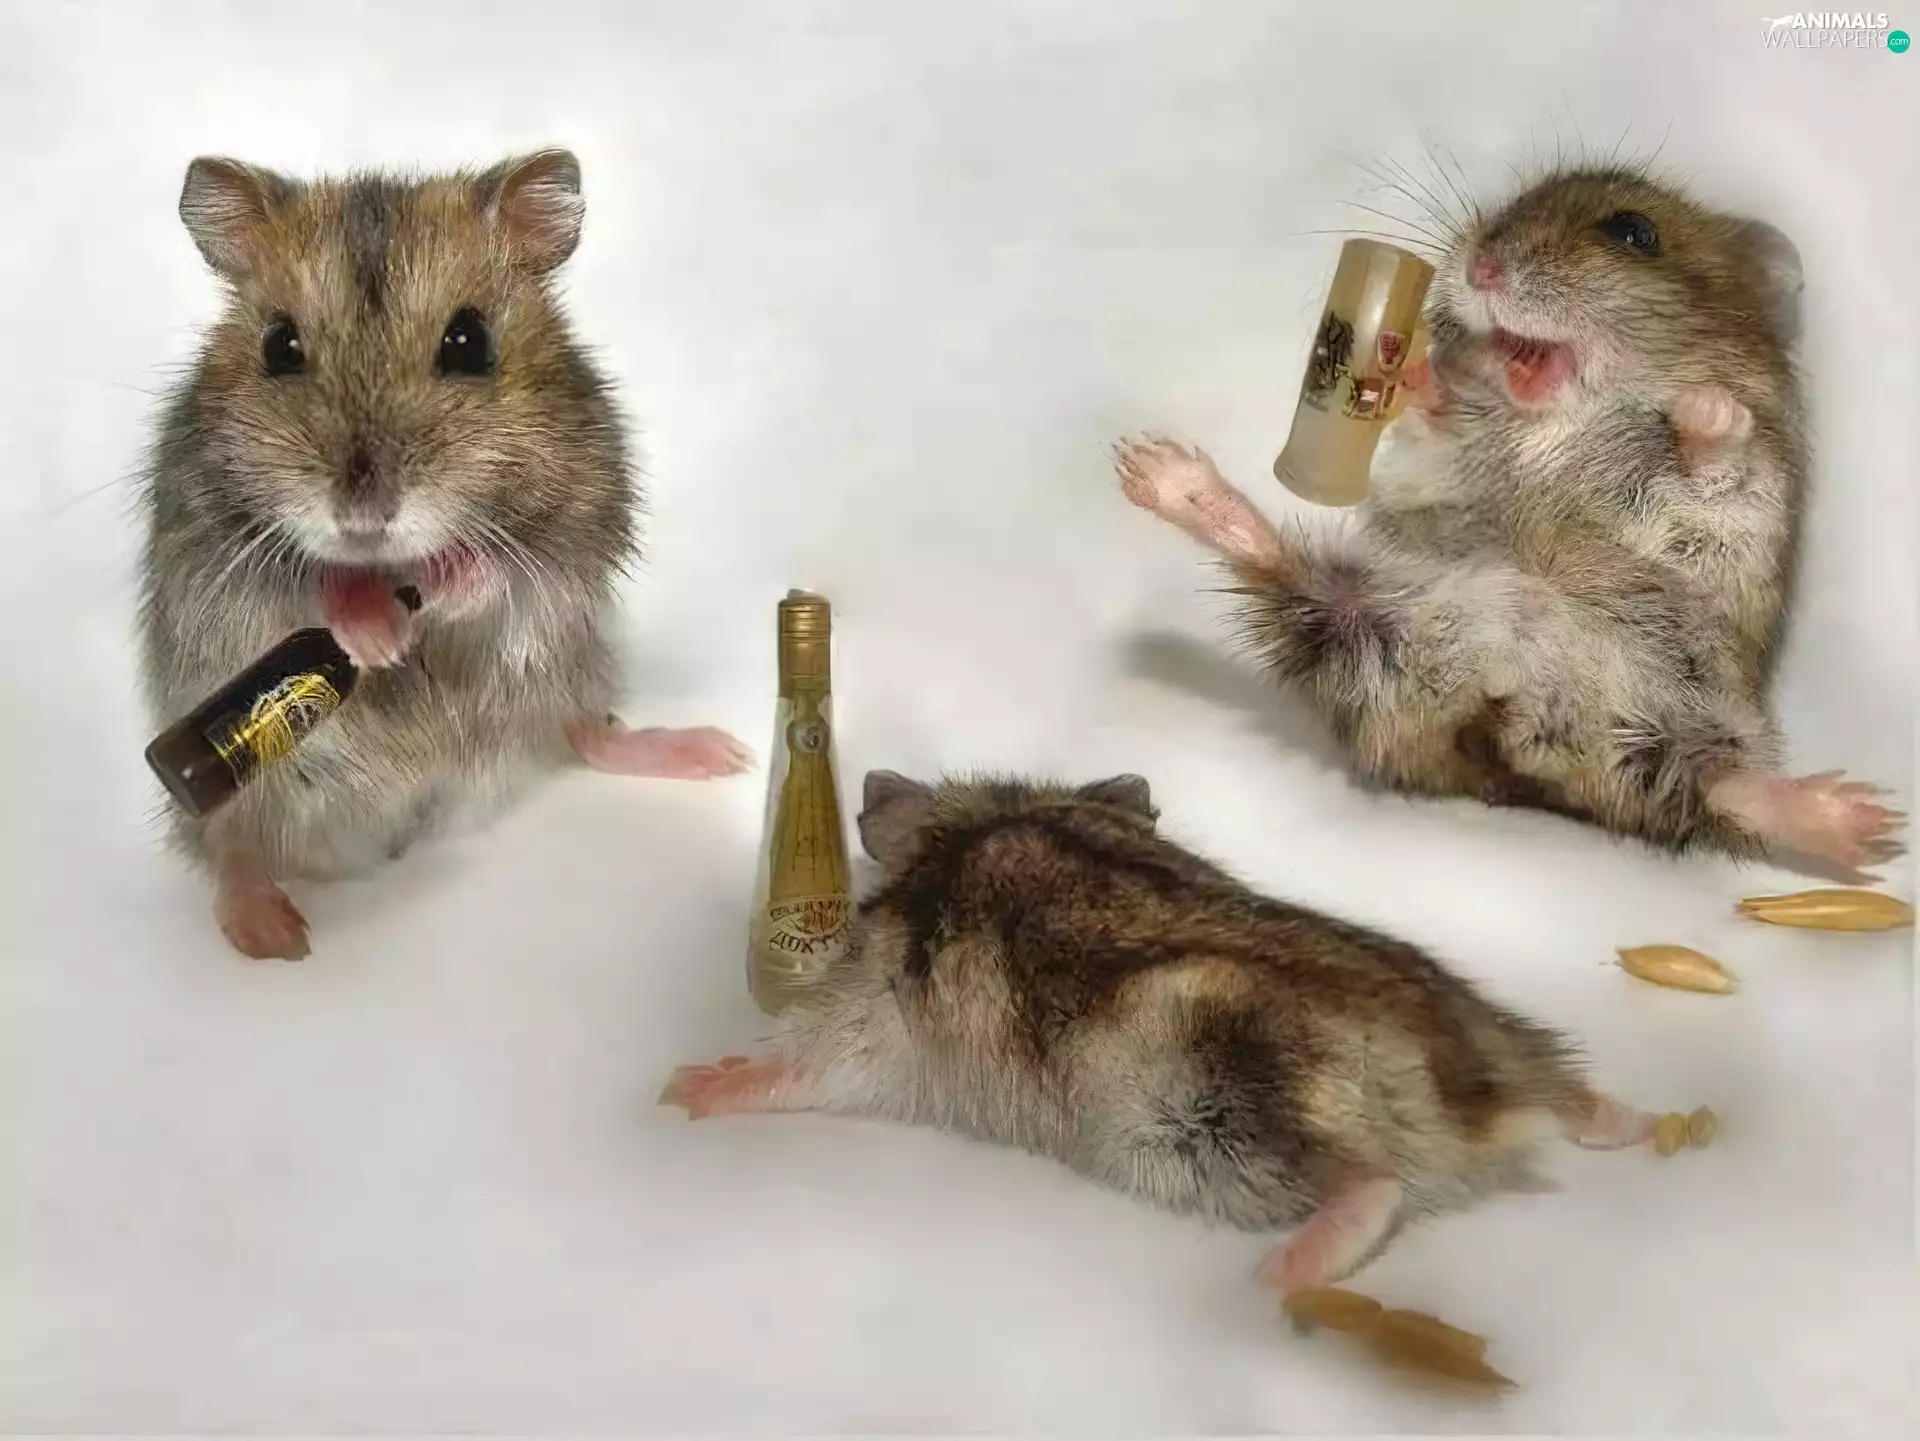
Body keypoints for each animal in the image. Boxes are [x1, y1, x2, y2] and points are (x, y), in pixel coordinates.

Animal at [138, 149, 751, 960]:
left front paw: (446, 581)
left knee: (586, 736)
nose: (363, 516)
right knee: (229, 841)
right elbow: (308, 582)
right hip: (229, 780)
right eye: (278, 347)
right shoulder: (214, 536)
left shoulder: (582, 518)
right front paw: (380, 636)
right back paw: (273, 935)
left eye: (470, 343)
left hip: (567, 672)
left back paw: (717, 752)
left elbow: (511, 569)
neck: (390, 564)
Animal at [662, 771, 1667, 1294]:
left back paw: (1273, 1276)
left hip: (1230, 1118)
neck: (970, 828)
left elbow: (791, 1067)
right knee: (1580, 1094)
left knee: (1370, 1189)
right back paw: (1649, 1126)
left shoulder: (862, 1026)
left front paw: (682, 1086)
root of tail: (1492, 1105)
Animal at [1115, 166, 1903, 873]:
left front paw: (1702, 410)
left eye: (1634, 232)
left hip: (1693, 717)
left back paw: (1862, 819)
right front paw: (1415, 374)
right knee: (1280, 567)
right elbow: (1436, 425)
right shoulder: (1434, 459)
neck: (1550, 422)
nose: (1481, 265)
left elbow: (1716, 462)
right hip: (1367, 626)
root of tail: (1510, 738)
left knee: (1716, 789)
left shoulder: (1746, 498)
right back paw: (1158, 472)